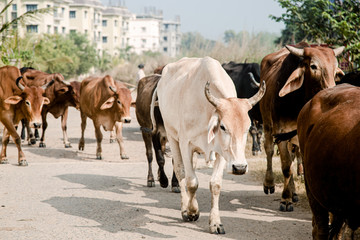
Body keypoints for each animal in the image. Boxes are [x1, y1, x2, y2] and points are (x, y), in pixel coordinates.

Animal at [150, 57, 266, 233]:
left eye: (247, 128)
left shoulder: (223, 153)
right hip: (172, 135)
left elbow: (216, 184)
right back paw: (185, 208)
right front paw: (192, 211)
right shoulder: (185, 144)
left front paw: (215, 222)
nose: (240, 168)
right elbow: (191, 182)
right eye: (223, 127)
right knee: (180, 171)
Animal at [258, 42, 346, 211]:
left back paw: (293, 192)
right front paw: (285, 200)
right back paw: (269, 183)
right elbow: (286, 167)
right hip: (267, 124)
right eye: (313, 66)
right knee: (269, 151)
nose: (331, 89)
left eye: (335, 67)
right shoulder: (280, 134)